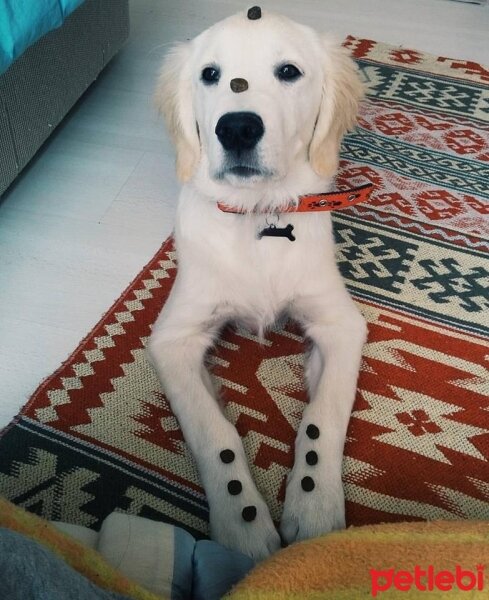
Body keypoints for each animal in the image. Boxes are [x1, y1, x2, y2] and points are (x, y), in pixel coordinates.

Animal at [149, 4, 366, 560]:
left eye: (288, 71)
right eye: (210, 74)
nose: (238, 128)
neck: (257, 218)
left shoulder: (340, 323)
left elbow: (325, 416)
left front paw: (315, 510)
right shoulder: (173, 338)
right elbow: (213, 434)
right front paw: (242, 527)